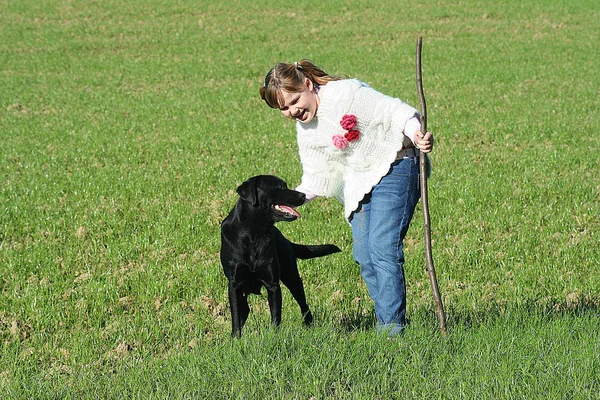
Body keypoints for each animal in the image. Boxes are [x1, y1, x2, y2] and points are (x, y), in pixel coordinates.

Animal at [221, 177, 342, 336]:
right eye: (279, 187)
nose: (303, 195)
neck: (254, 234)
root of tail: (286, 240)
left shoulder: (273, 284)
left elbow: (276, 315)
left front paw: (274, 336)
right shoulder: (234, 284)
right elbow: (235, 314)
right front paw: (235, 338)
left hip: (292, 278)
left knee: (304, 304)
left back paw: (309, 325)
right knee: (244, 310)